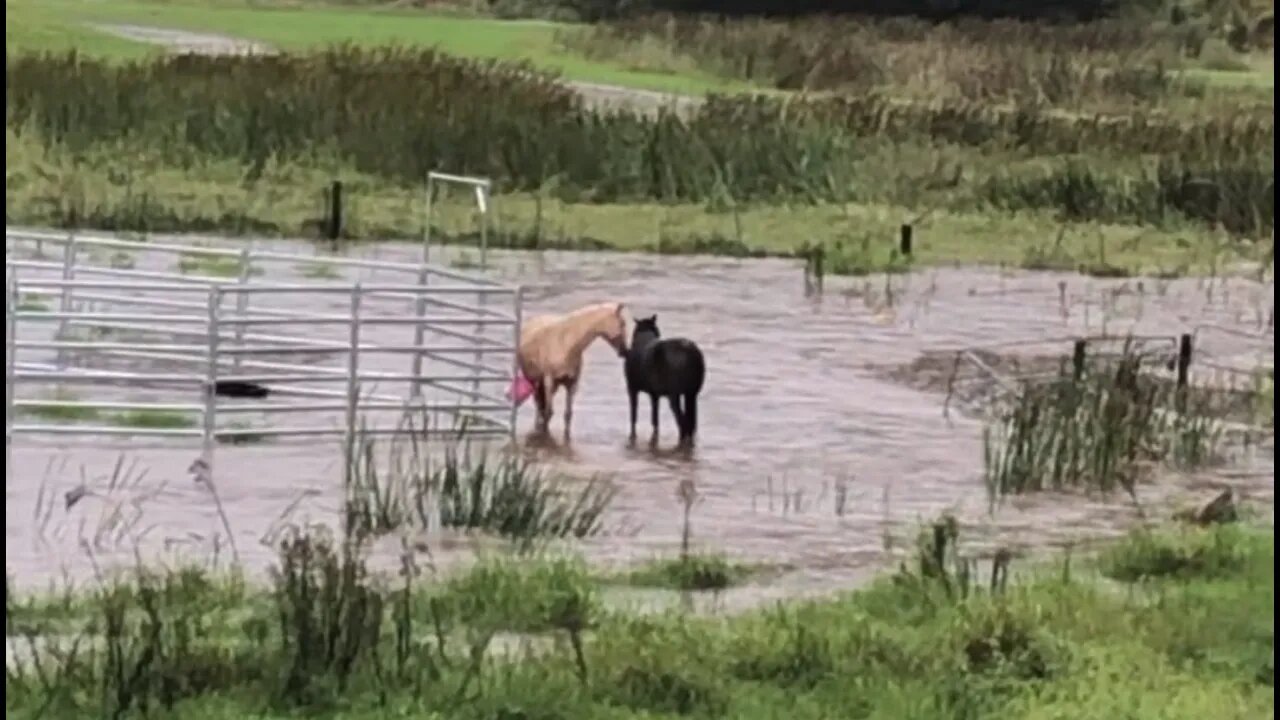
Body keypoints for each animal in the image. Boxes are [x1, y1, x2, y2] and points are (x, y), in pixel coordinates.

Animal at [514, 298, 624, 438]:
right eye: (622, 324)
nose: (624, 350)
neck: (567, 343)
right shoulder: (549, 380)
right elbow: (548, 412)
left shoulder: (572, 383)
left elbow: (568, 414)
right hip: (534, 380)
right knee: (539, 405)